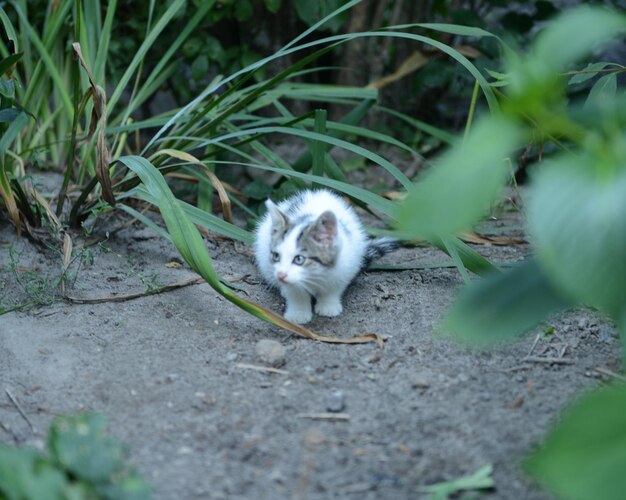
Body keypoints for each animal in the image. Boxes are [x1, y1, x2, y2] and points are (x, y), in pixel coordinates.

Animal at [255, 188, 398, 324]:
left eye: (299, 259)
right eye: (276, 256)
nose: (281, 275)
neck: (315, 274)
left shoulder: (345, 266)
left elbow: (334, 288)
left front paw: (328, 306)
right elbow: (295, 293)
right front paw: (298, 313)